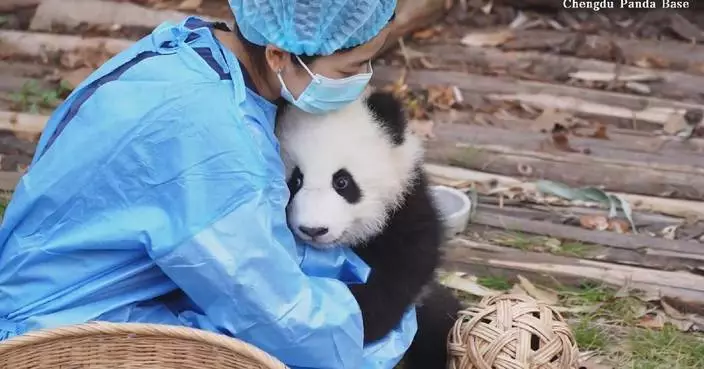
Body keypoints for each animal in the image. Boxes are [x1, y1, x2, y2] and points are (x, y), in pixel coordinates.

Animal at [278, 90, 464, 368]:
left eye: (342, 182)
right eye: (296, 180)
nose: (313, 229)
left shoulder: (404, 211)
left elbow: (403, 270)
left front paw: (363, 322)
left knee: (441, 322)